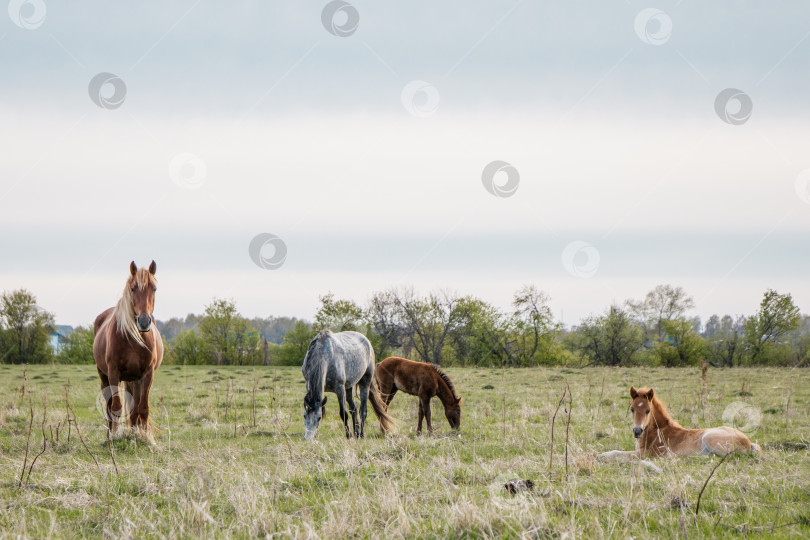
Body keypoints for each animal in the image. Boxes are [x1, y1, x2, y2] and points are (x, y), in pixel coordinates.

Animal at [93, 260, 163, 436]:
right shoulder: (113, 373)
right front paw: (115, 436)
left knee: (134, 409)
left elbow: (142, 409)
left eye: (154, 288)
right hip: (104, 377)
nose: (144, 322)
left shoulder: (147, 375)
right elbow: (116, 408)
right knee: (109, 407)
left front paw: (144, 437)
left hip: (134, 381)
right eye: (133, 289)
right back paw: (110, 435)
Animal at [596, 384, 760, 464]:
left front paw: (602, 456)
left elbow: (619, 453)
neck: (657, 433)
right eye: (632, 409)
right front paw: (600, 455)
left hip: (709, 437)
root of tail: (748, 441)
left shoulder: (647, 454)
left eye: (648, 410)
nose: (637, 431)